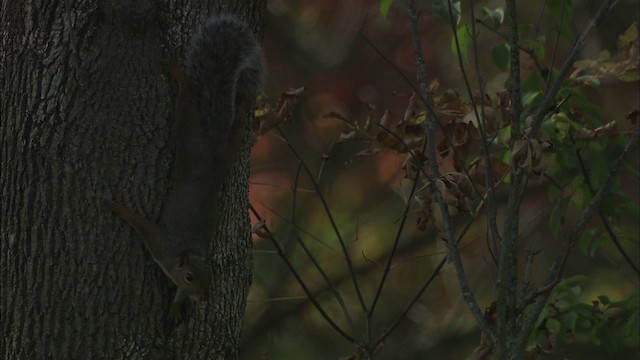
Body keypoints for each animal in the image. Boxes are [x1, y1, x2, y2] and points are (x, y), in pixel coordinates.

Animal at [112, 16, 264, 324]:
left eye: (210, 278)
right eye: (191, 277)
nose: (203, 298)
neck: (183, 255)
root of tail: (213, 147)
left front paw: (174, 308)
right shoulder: (160, 243)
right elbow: (141, 224)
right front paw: (120, 209)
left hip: (217, 148)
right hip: (188, 124)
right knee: (190, 93)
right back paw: (180, 74)